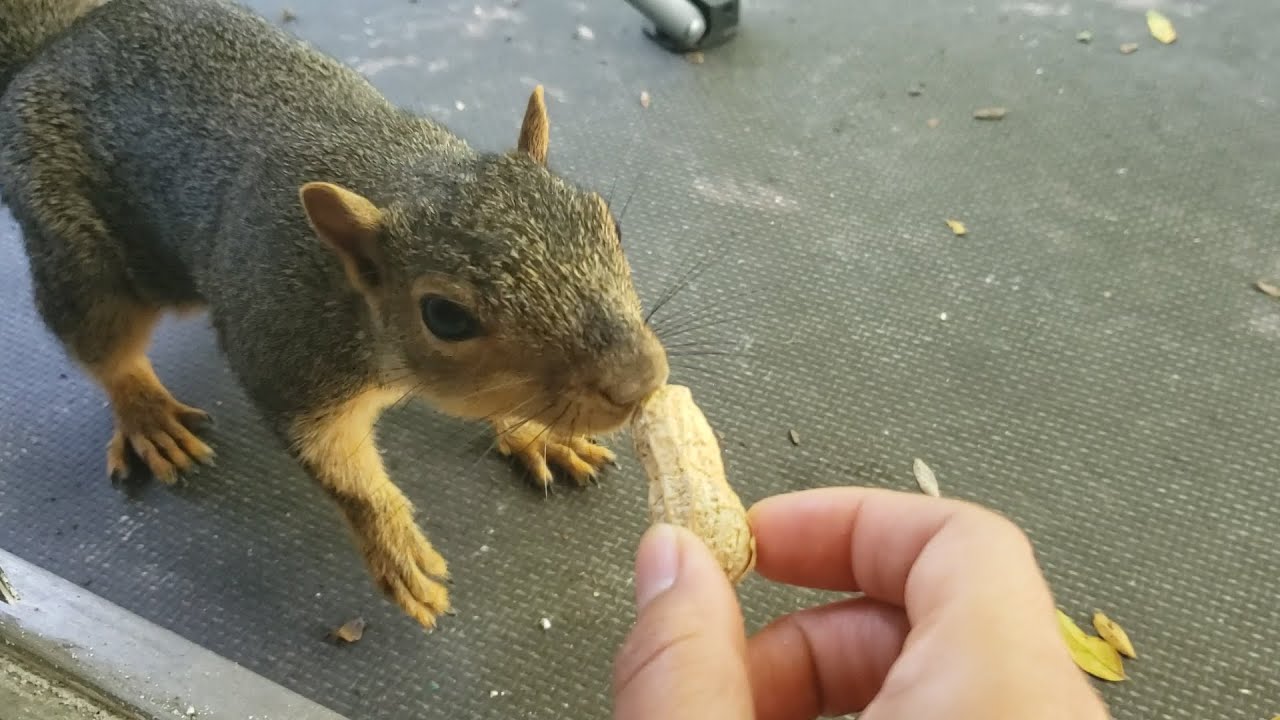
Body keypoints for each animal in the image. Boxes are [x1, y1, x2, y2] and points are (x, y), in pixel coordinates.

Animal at [0, 0, 670, 630]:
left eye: (607, 221)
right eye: (445, 316)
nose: (638, 381)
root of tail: (48, 49)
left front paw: (535, 432)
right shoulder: (288, 354)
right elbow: (342, 472)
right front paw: (396, 549)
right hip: (84, 263)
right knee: (105, 350)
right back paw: (147, 413)